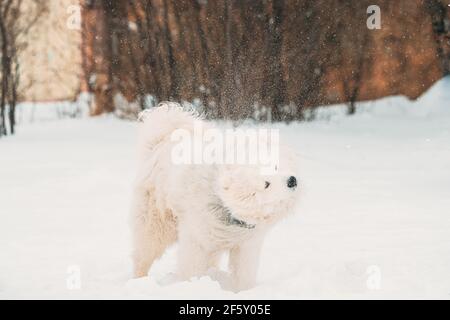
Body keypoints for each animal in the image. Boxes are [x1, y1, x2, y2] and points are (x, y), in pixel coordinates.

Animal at [129, 104, 298, 292]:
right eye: (266, 184)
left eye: (274, 166)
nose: (292, 181)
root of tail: (161, 141)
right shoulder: (196, 239)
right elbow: (192, 267)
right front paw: (192, 286)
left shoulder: (246, 244)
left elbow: (244, 272)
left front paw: (245, 291)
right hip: (156, 224)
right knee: (144, 253)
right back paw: (139, 281)